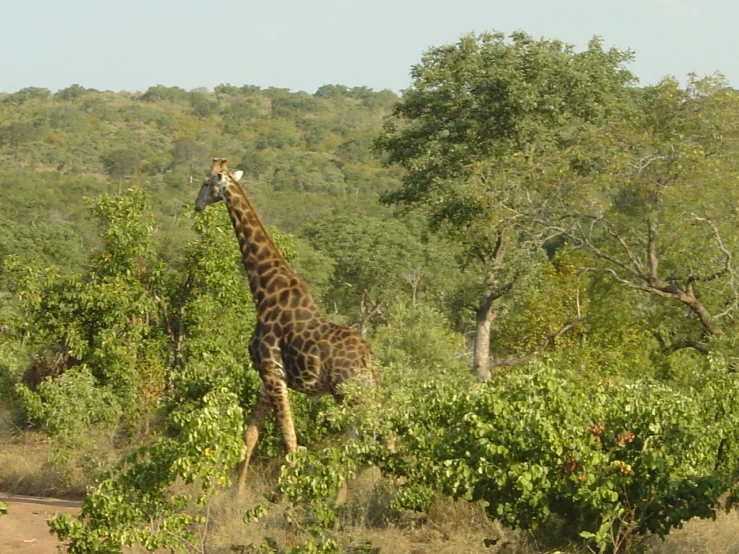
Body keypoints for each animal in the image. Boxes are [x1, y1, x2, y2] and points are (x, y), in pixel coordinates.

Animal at [195, 157, 376, 490]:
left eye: (205, 183)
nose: (197, 205)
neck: (264, 292)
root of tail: (369, 359)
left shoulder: (273, 372)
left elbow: (290, 442)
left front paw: (287, 493)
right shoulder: (267, 376)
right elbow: (250, 434)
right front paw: (238, 493)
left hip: (351, 393)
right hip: (356, 395)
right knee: (359, 441)